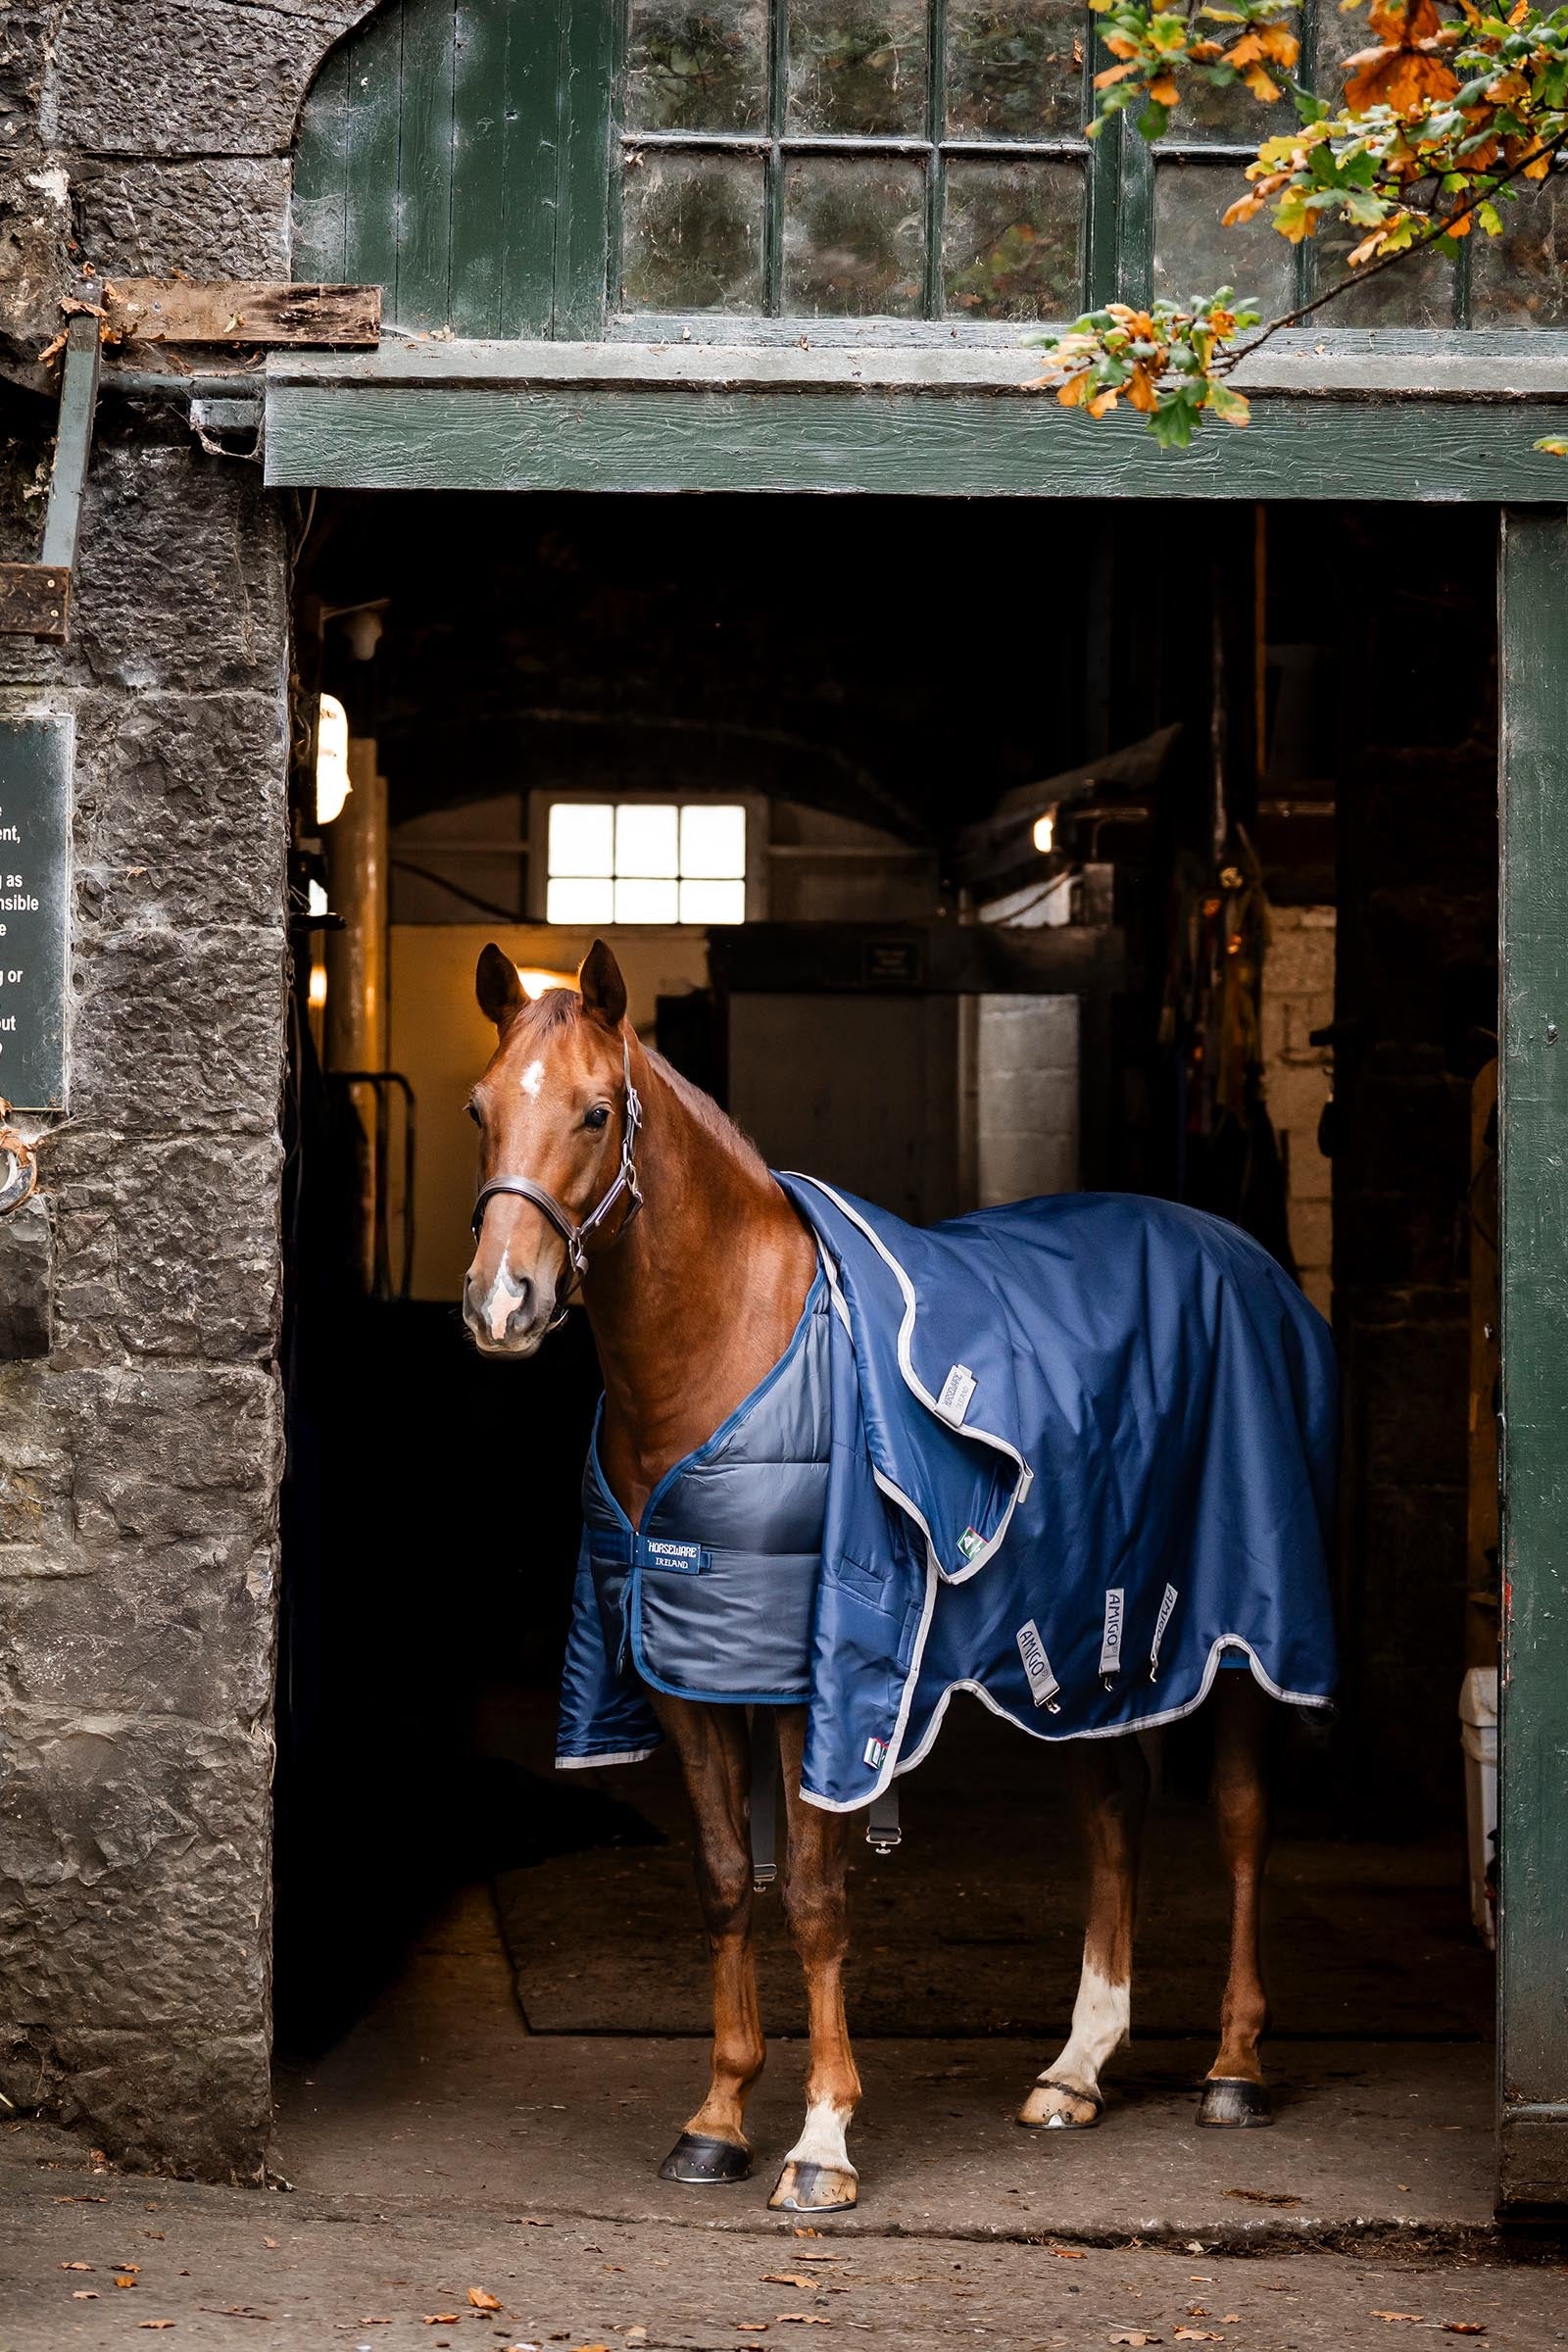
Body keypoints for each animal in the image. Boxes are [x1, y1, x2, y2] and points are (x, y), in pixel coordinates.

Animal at [463, 937, 1327, 2214]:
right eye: (480, 1111)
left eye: (595, 1111)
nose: (500, 1304)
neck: (727, 1346)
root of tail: (1252, 1264)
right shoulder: (685, 1673)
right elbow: (723, 1881)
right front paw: (716, 2120)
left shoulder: (815, 1684)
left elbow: (815, 1902)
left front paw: (822, 2141)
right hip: (1091, 1647)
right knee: (1112, 1813)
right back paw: (1075, 2070)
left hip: (1239, 1641)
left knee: (1237, 1820)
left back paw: (1232, 2066)